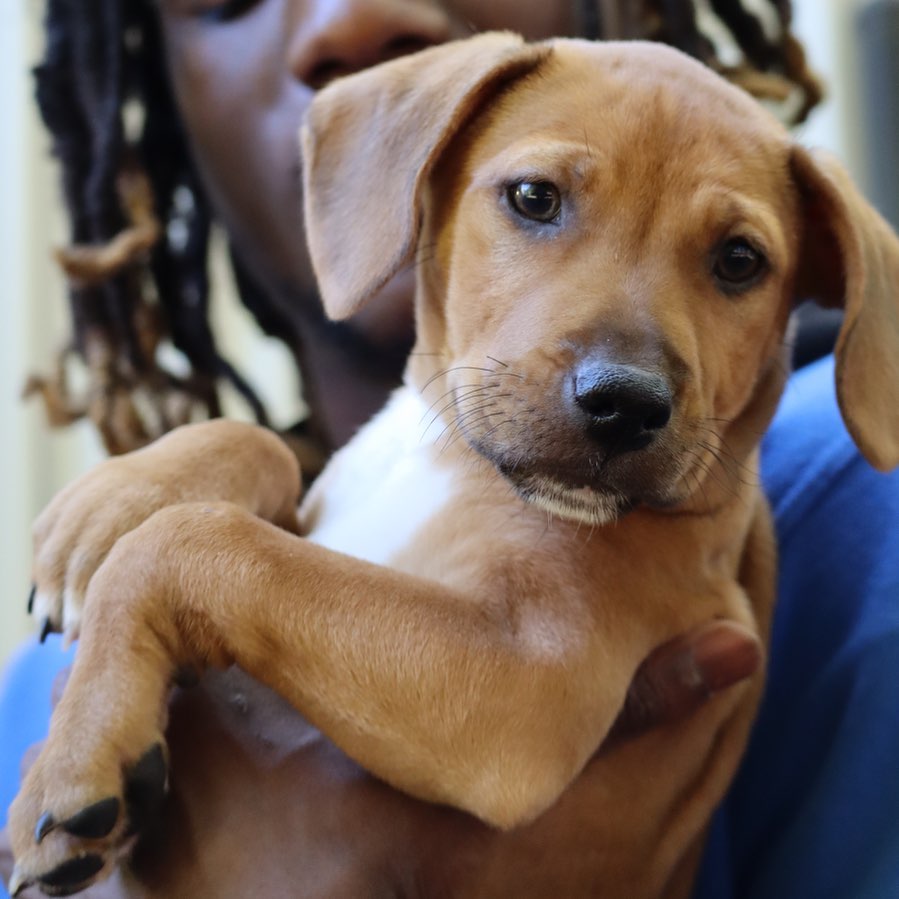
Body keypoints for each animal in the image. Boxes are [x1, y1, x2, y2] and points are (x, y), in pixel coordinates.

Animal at [7, 31, 899, 896]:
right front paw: (110, 508)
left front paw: (74, 757)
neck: (443, 448)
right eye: (534, 198)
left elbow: (199, 544)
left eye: (740, 261)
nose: (624, 403)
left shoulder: (528, 681)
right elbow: (257, 452)